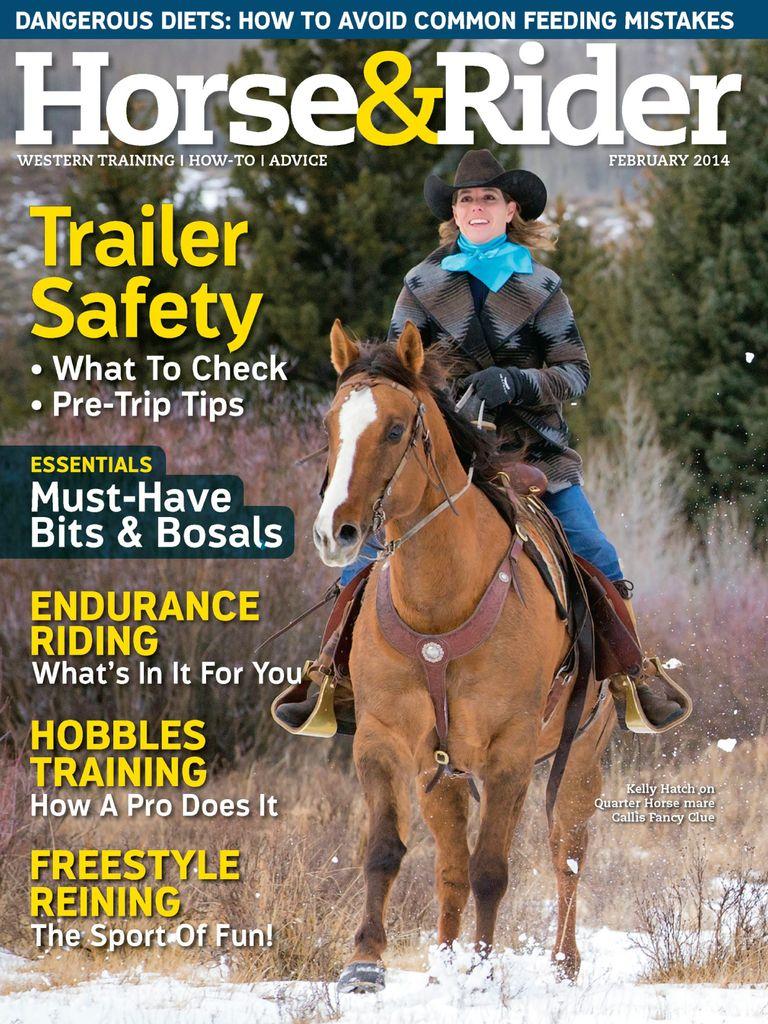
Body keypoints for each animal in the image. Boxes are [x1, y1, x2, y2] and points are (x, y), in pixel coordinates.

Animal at [312, 320, 616, 993]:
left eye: (395, 429)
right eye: (330, 426)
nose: (334, 533)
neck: (438, 606)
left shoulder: (509, 751)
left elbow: (492, 869)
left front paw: (481, 971)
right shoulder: (381, 740)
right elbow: (385, 852)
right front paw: (364, 963)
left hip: (580, 756)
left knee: (567, 852)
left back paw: (563, 961)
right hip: (442, 776)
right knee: (450, 863)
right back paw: (444, 963)